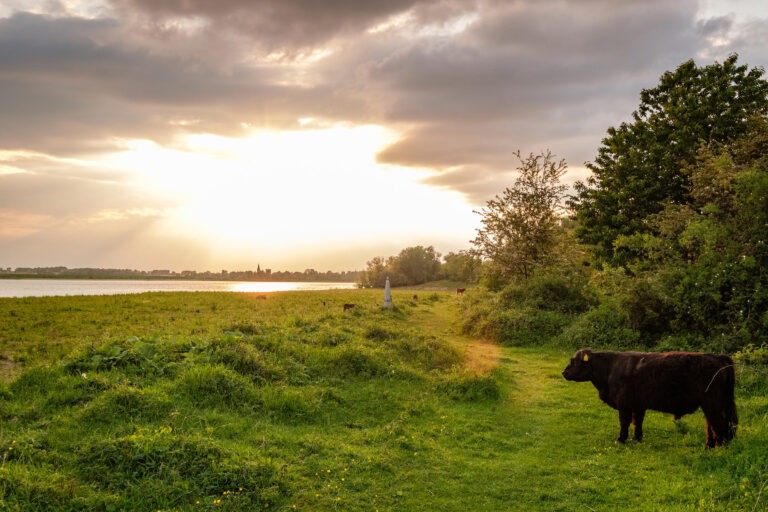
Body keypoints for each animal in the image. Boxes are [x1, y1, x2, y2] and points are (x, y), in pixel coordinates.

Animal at [564, 348, 736, 448]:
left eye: (574, 361)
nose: (563, 372)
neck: (610, 368)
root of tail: (718, 357)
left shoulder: (624, 404)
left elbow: (624, 422)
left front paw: (621, 439)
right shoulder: (638, 404)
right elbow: (637, 422)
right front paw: (637, 438)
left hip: (713, 403)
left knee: (719, 424)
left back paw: (719, 448)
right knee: (712, 424)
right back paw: (709, 445)